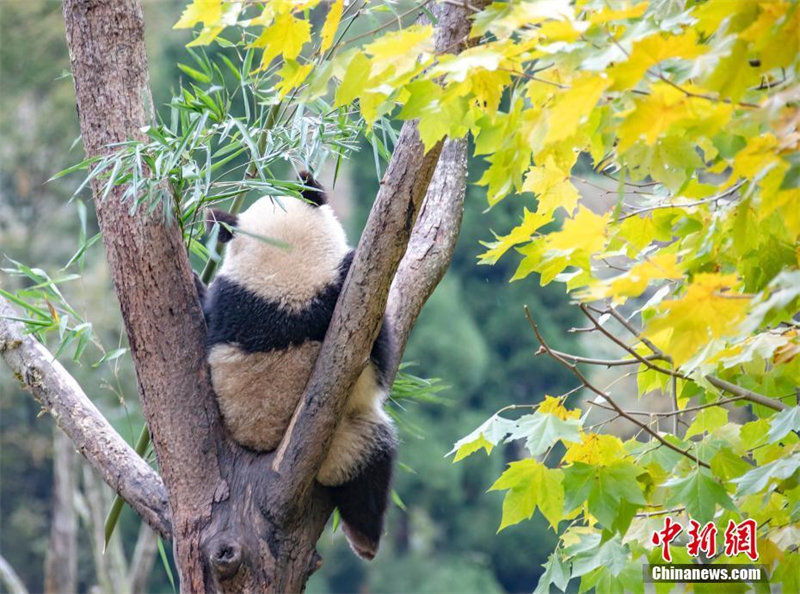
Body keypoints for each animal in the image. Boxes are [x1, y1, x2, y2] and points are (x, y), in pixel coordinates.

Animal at [194, 172, 396, 560]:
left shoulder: (228, 301)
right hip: (351, 434)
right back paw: (365, 537)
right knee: (373, 465)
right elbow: (383, 361)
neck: (284, 276)